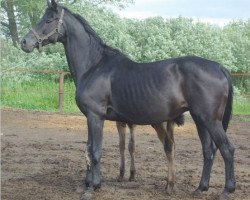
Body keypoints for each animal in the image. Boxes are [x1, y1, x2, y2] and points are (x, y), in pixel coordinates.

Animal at [20, 0, 235, 199]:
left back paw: (226, 190)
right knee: (208, 151)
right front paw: (87, 184)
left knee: (226, 149)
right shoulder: (91, 117)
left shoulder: (95, 116)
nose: (24, 42)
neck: (94, 66)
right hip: (200, 120)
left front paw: (93, 187)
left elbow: (95, 151)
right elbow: (88, 149)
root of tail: (219, 67)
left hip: (209, 120)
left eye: (48, 20)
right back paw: (200, 188)